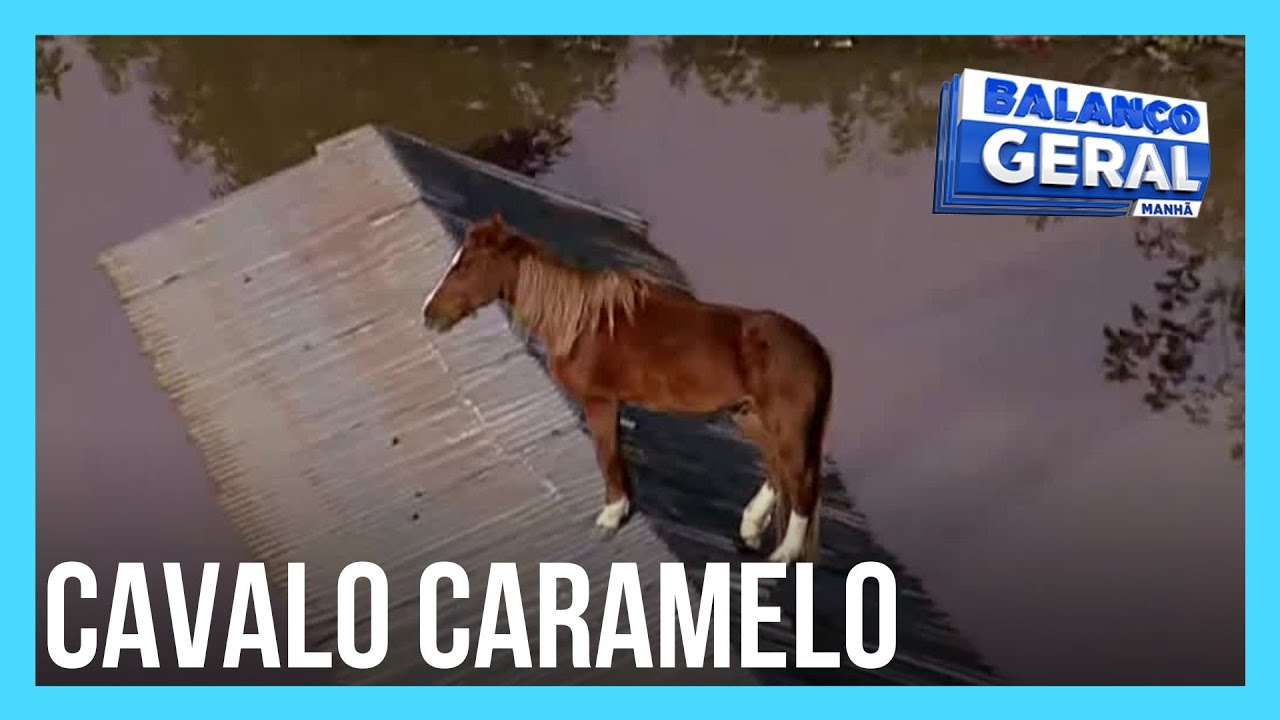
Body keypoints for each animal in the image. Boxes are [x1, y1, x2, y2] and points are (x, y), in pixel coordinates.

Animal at [421, 214, 833, 564]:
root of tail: (815, 348)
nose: (429, 313)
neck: (579, 323)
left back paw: (784, 554)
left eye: (466, 265)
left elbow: (606, 454)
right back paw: (750, 528)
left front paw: (610, 516)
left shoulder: (600, 401)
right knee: (778, 469)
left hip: (785, 425)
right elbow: (615, 453)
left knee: (801, 482)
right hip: (750, 417)